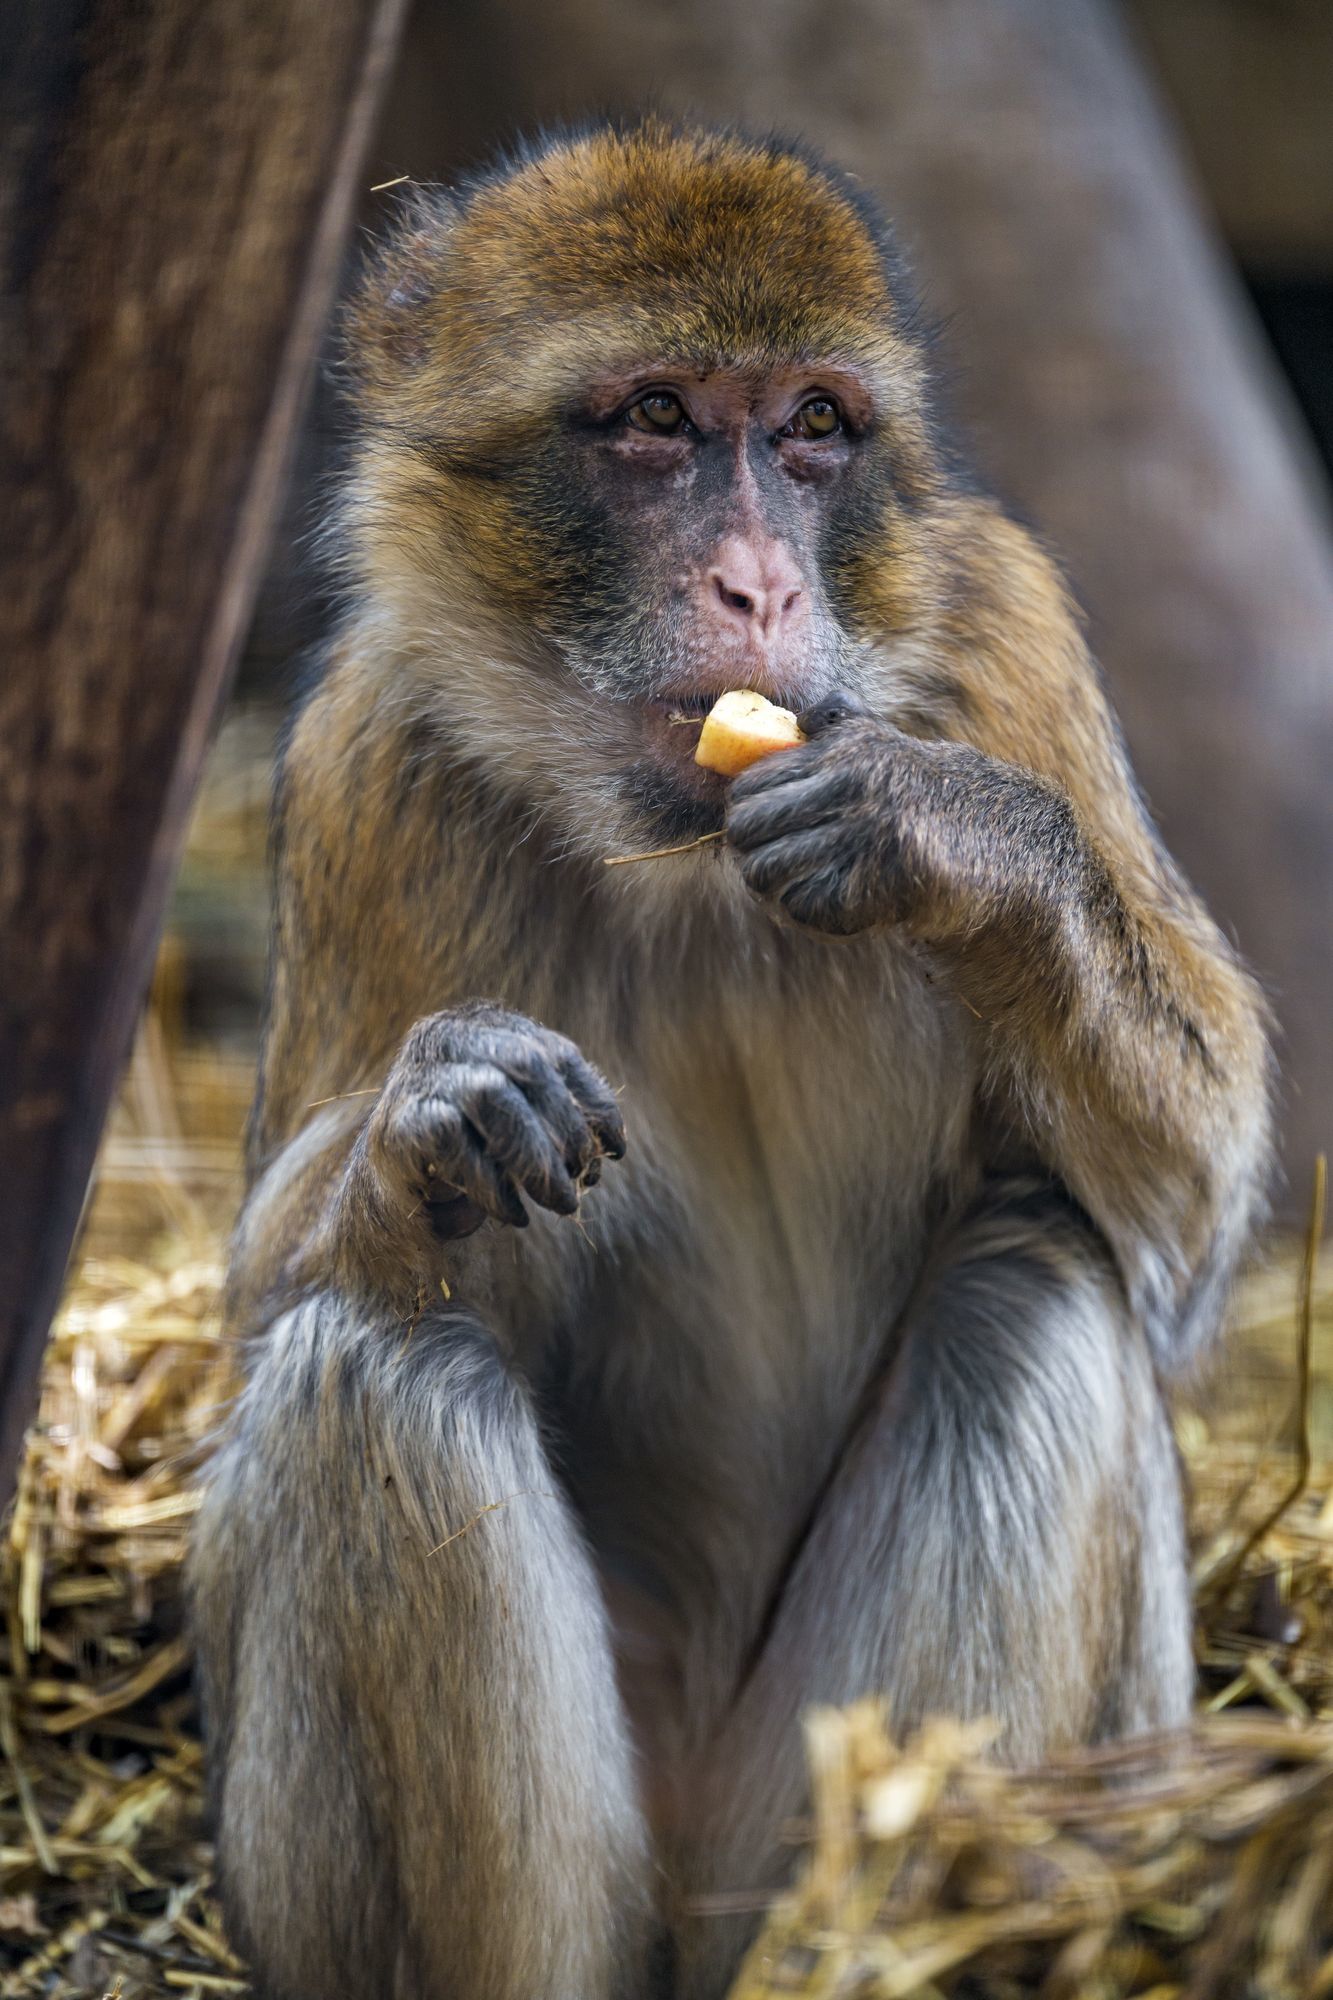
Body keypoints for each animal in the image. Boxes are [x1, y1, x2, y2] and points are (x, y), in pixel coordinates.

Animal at [192, 121, 1272, 2000]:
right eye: (656, 421)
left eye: (812, 429)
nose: (761, 585)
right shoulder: (363, 753)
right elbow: (262, 1321)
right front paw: (430, 1111)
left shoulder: (1011, 640)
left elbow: (1185, 1235)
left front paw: (957, 841)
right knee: (372, 1368)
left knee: (1035, 1288)